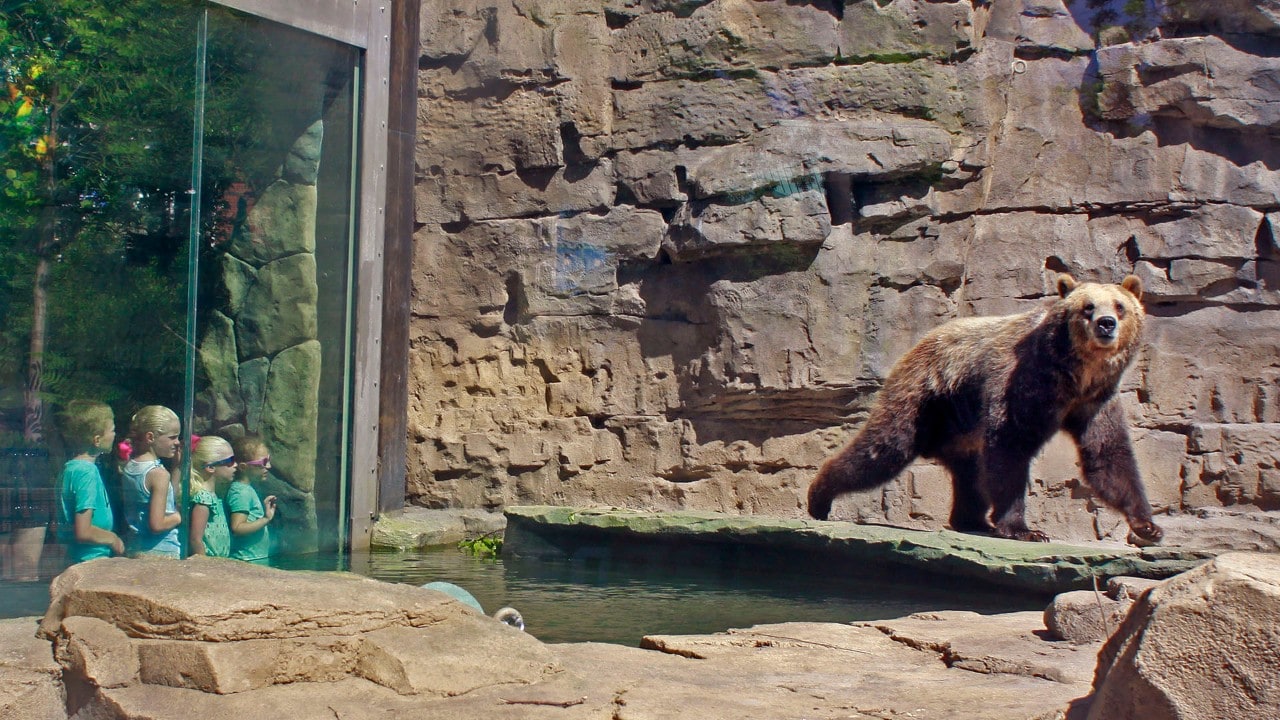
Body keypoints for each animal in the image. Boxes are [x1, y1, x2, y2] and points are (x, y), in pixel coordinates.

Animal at [808, 271, 1162, 540]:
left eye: (1120, 306)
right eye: (1088, 307)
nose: (1106, 323)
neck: (1075, 375)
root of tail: (917, 344)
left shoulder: (1096, 401)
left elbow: (1108, 455)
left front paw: (1148, 525)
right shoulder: (1026, 382)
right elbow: (1010, 445)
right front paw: (1024, 529)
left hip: (960, 426)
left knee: (969, 474)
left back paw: (970, 520)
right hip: (925, 399)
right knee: (884, 448)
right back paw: (819, 497)